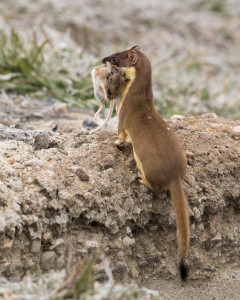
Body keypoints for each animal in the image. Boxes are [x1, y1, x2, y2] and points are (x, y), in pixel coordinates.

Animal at [102, 45, 190, 280]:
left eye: (115, 58)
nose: (103, 59)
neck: (137, 96)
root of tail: (175, 174)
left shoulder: (123, 114)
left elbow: (121, 134)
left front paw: (115, 142)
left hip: (149, 167)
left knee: (156, 187)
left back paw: (142, 179)